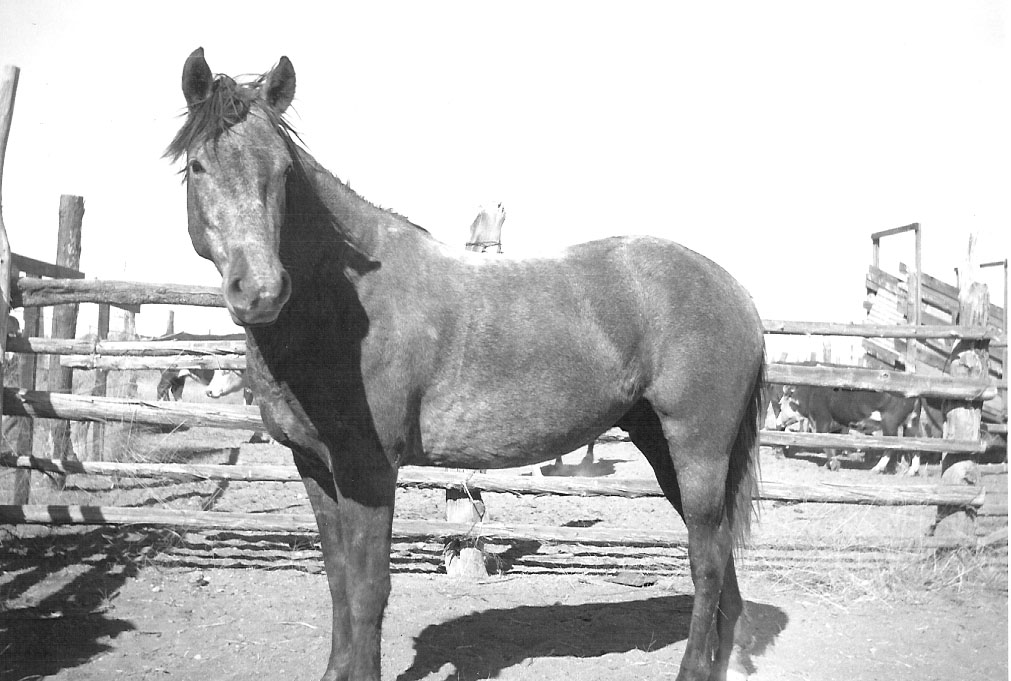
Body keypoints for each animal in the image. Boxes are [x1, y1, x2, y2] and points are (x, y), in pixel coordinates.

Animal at [166, 48, 767, 681]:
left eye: (283, 171)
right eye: (198, 166)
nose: (260, 291)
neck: (343, 307)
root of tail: (736, 293)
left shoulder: (369, 472)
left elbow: (368, 589)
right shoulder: (315, 468)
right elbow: (338, 582)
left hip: (698, 450)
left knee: (706, 559)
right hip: (662, 446)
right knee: (718, 553)